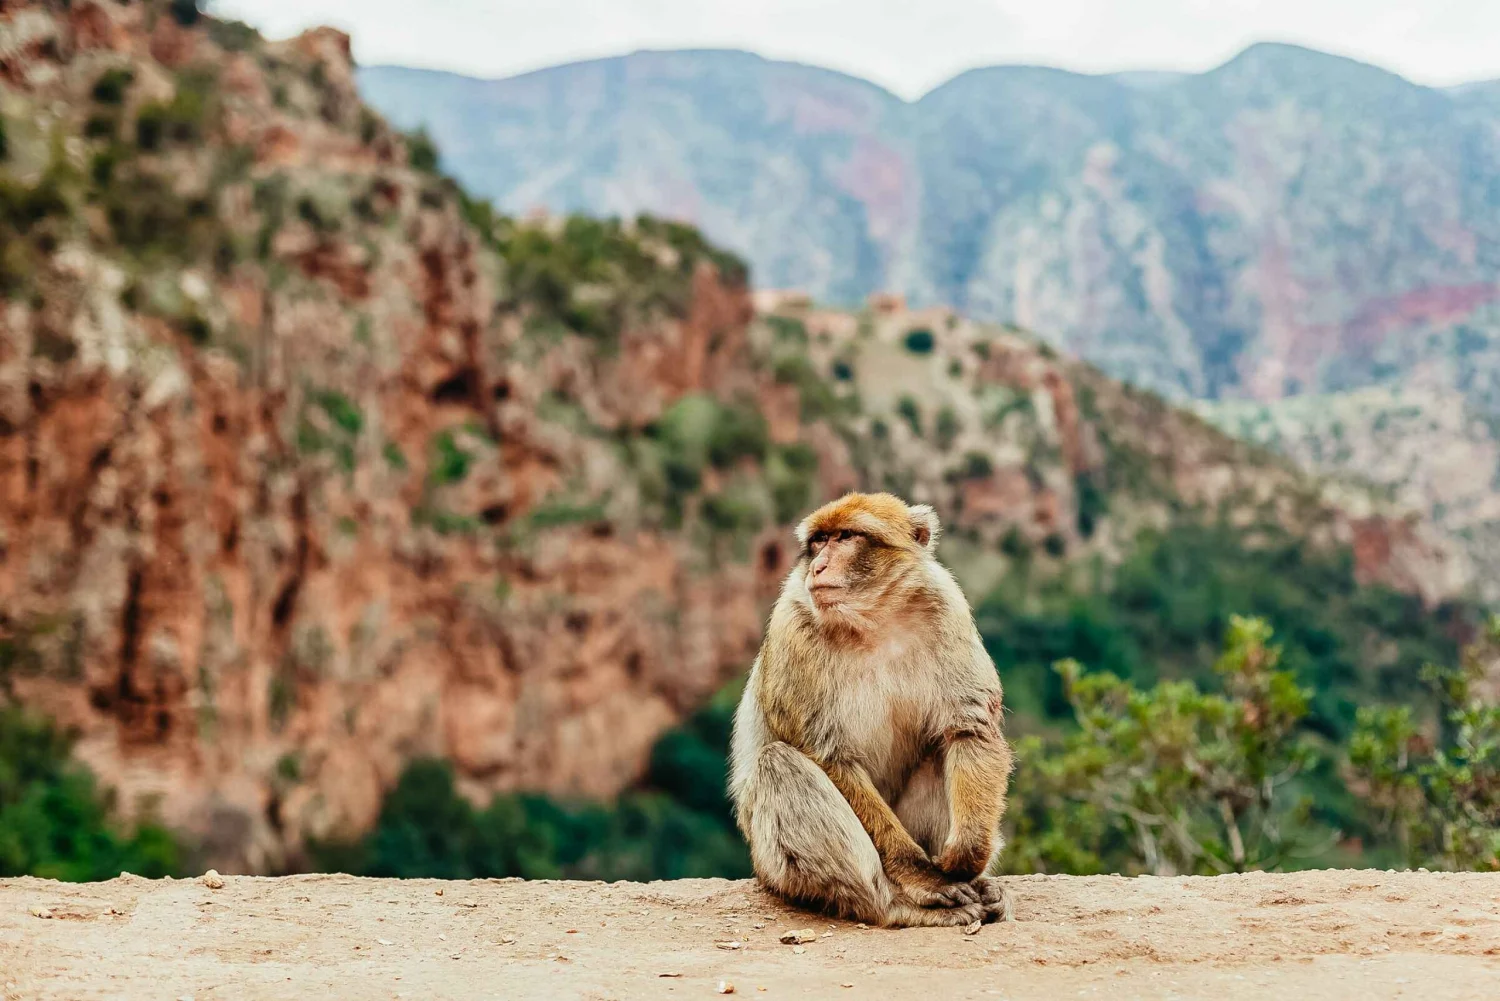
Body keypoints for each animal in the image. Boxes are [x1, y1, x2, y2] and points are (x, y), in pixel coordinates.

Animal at [728, 492, 1014, 928]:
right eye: (819, 540)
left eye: (846, 537)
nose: (818, 566)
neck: (872, 620)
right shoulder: (792, 627)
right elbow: (830, 757)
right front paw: (925, 877)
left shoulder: (946, 606)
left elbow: (967, 727)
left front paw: (968, 854)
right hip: (772, 868)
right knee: (779, 764)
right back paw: (897, 904)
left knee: (938, 751)